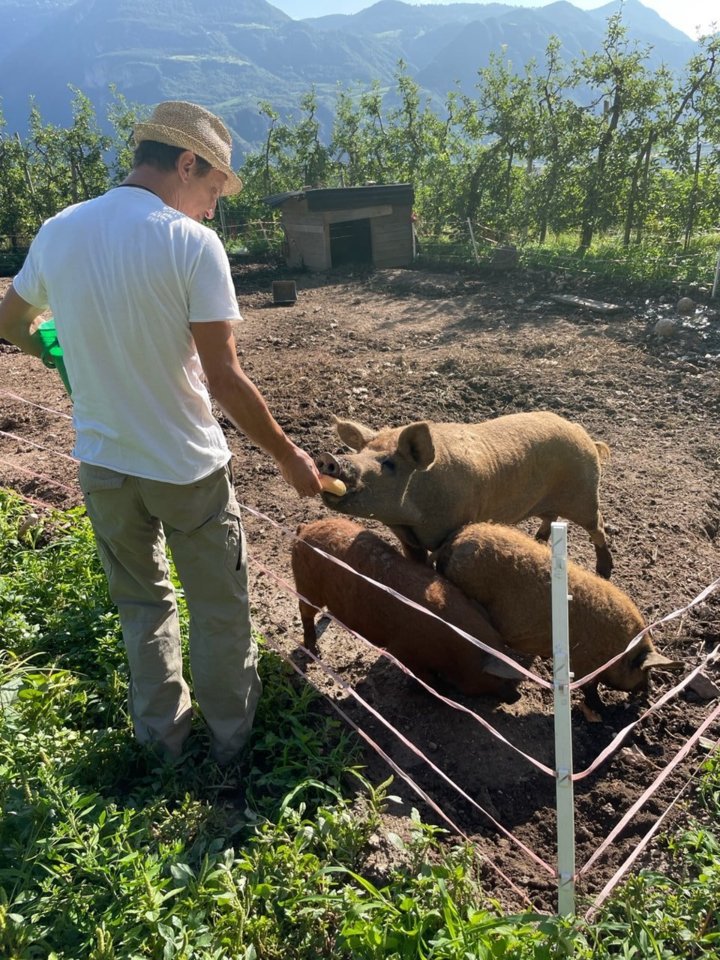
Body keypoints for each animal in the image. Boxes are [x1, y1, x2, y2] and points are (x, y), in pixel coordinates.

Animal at [292, 516, 524, 696]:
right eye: (499, 679)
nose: (517, 697)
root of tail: (304, 528)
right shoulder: (401, 650)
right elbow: (423, 677)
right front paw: (438, 690)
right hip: (306, 586)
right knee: (304, 612)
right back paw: (314, 650)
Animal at [316, 406, 612, 572]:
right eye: (362, 452)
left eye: (388, 464)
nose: (330, 459)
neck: (414, 519)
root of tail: (581, 432)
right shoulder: (408, 538)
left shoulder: (456, 526)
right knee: (550, 517)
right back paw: (537, 542)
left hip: (585, 495)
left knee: (597, 525)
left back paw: (604, 570)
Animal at [430, 520, 684, 716]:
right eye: (645, 670)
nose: (648, 691)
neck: (619, 651)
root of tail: (454, 542)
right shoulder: (584, 664)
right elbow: (590, 689)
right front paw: (603, 711)